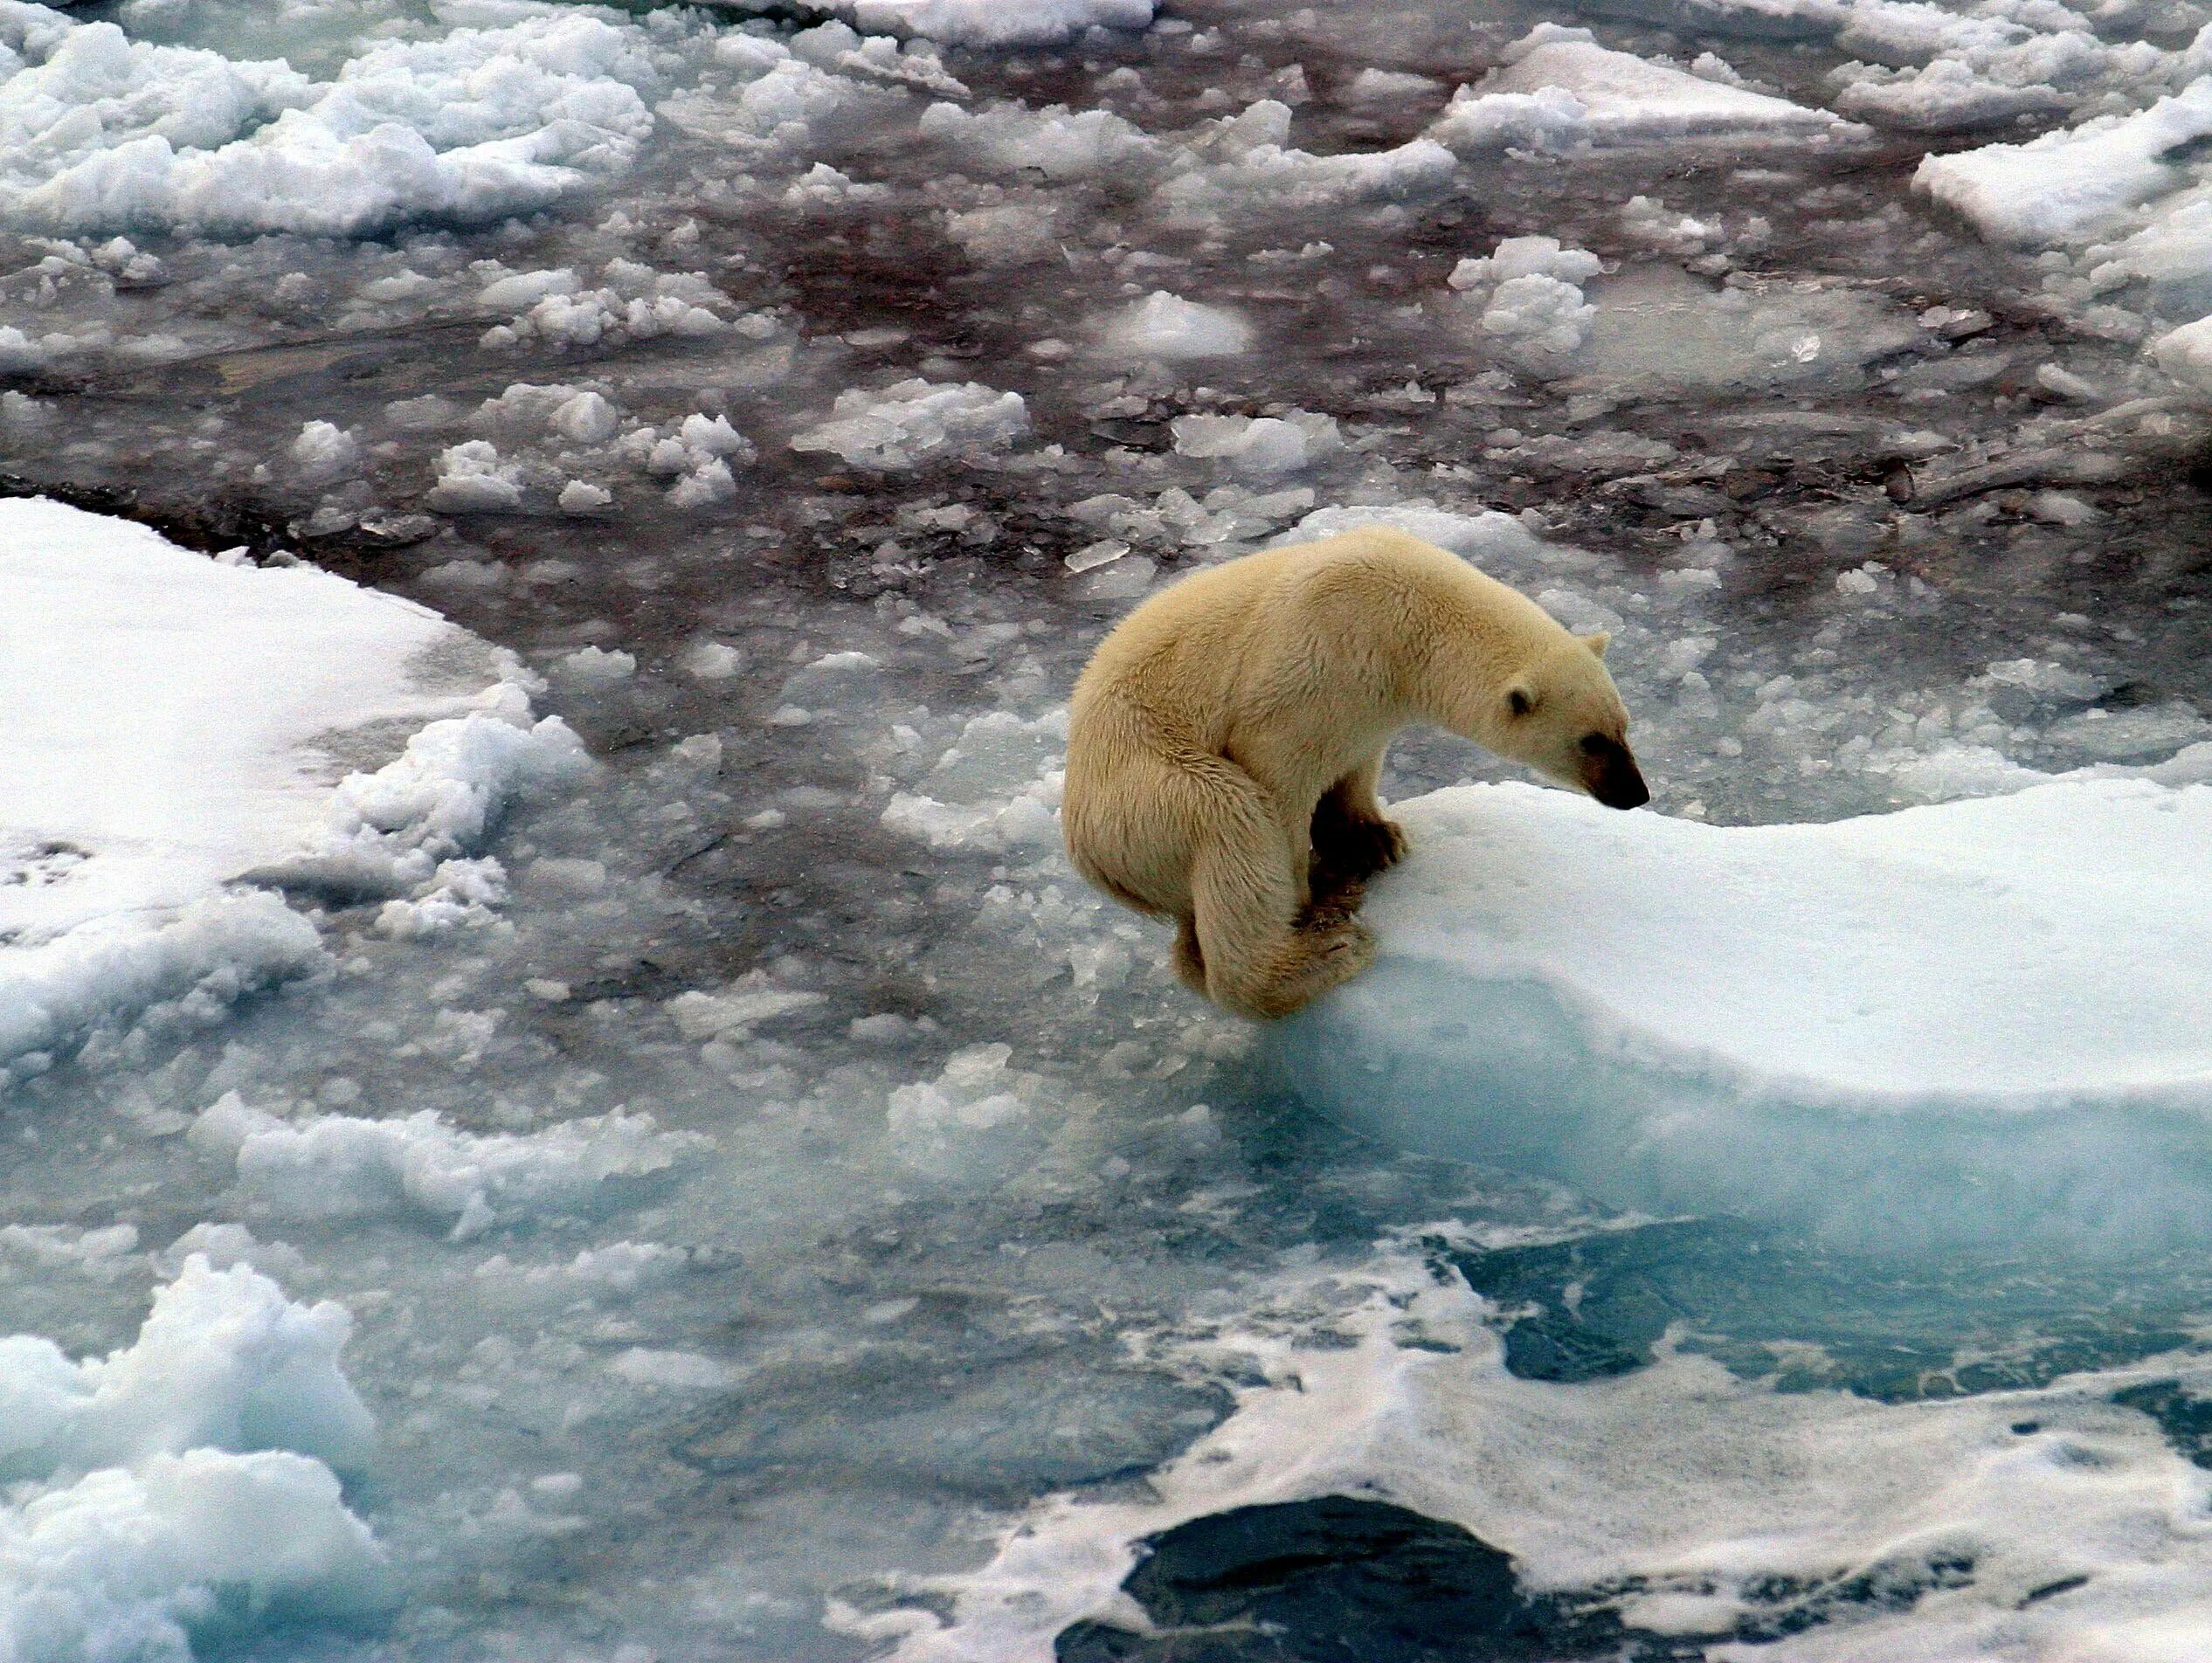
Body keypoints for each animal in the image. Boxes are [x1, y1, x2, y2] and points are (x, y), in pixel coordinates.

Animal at [1061, 526, 1654, 1021]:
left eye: (1623, 726)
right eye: (1590, 741)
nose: (1636, 793)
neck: (1411, 615)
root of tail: (1092, 857)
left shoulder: (1372, 696)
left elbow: (1355, 759)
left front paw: (1373, 841)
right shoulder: (1323, 655)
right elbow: (1277, 771)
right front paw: (1317, 895)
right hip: (1144, 794)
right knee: (1227, 821)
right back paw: (1322, 952)